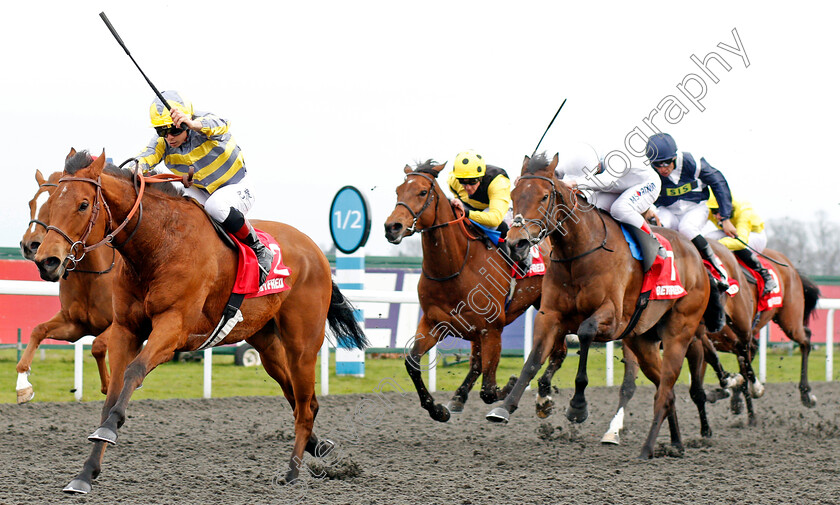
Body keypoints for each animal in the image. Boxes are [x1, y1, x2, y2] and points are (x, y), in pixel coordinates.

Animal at [16, 157, 116, 402]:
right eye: (31, 203)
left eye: (50, 204)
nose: (30, 245)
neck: (93, 273)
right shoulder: (75, 325)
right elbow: (38, 330)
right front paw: (23, 384)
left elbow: (99, 345)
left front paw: (110, 385)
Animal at [31, 150, 366, 492]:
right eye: (49, 204)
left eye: (83, 204)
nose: (47, 261)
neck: (157, 244)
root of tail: (316, 252)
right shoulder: (126, 329)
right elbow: (111, 393)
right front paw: (85, 473)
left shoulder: (174, 326)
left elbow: (135, 371)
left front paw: (110, 429)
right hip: (267, 344)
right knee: (300, 400)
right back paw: (316, 447)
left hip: (302, 344)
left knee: (304, 405)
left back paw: (292, 473)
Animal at [386, 162, 548, 422]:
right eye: (398, 191)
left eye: (422, 192)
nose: (392, 227)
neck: (456, 266)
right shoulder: (434, 322)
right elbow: (412, 362)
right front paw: (437, 409)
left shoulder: (492, 329)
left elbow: (489, 390)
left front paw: (509, 385)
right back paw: (459, 398)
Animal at [488, 153, 712, 456]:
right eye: (513, 194)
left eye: (545, 196)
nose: (516, 243)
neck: (580, 251)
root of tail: (695, 254)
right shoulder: (550, 315)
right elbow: (533, 360)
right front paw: (505, 407)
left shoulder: (612, 318)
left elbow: (584, 332)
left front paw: (577, 407)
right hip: (642, 340)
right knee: (667, 391)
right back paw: (675, 444)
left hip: (679, 332)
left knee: (665, 386)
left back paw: (651, 445)